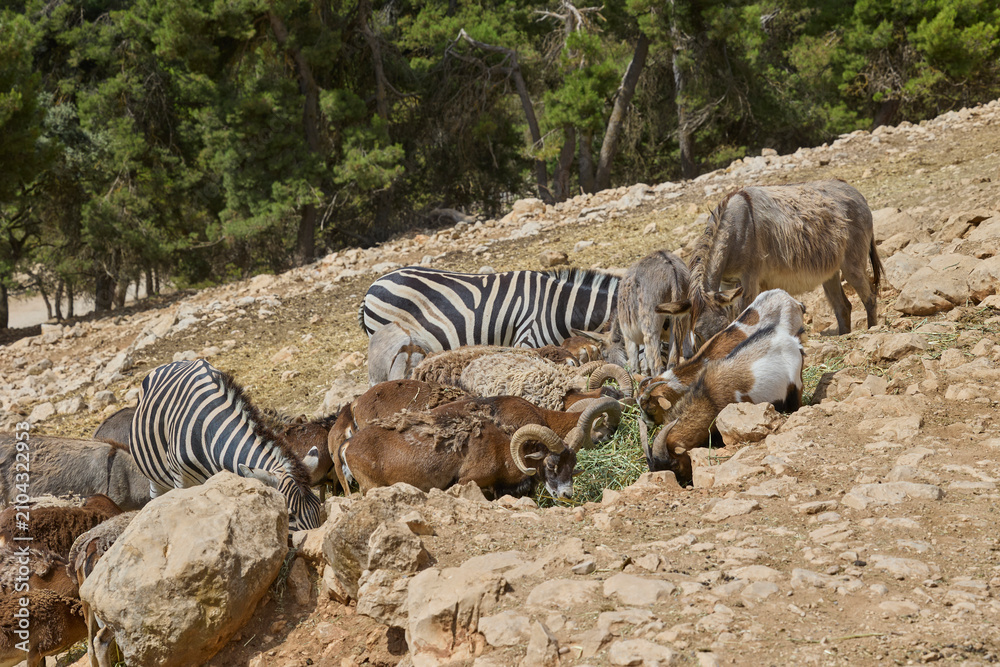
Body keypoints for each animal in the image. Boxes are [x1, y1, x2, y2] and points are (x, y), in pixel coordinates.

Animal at [129, 359, 322, 531]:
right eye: (290, 516)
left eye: (319, 506)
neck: (209, 432)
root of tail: (172, 363)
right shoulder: (181, 481)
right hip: (155, 479)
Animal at [343, 401, 582, 499]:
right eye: (551, 464)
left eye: (572, 466)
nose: (567, 494)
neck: (500, 450)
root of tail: (348, 446)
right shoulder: (467, 481)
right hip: (371, 487)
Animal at [662, 180, 882, 346]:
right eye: (697, 334)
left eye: (722, 328)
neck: (735, 228)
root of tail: (857, 193)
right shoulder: (727, 283)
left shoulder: (749, 280)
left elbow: (742, 314)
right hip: (830, 272)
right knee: (843, 306)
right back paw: (845, 335)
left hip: (852, 264)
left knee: (869, 297)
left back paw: (872, 329)